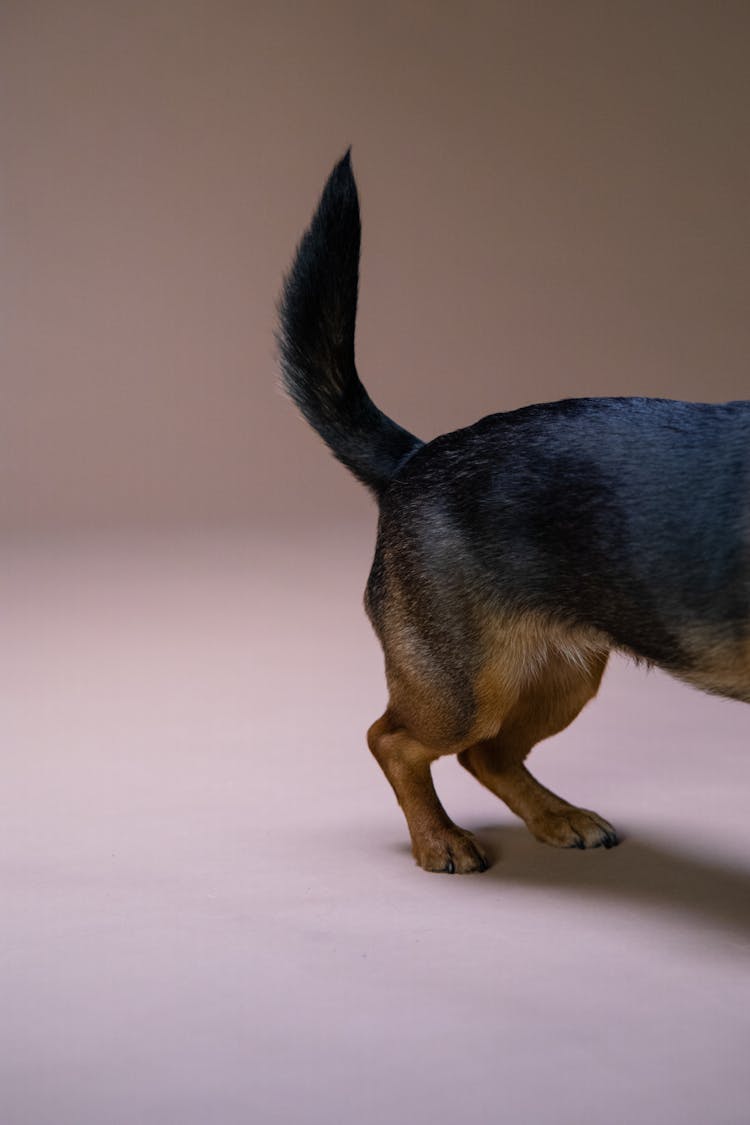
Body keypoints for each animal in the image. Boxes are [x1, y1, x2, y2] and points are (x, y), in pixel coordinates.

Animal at [277, 149, 750, 873]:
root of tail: (416, 456)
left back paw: (555, 816)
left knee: (488, 753)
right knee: (393, 739)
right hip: (462, 689)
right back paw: (438, 837)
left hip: (561, 675)